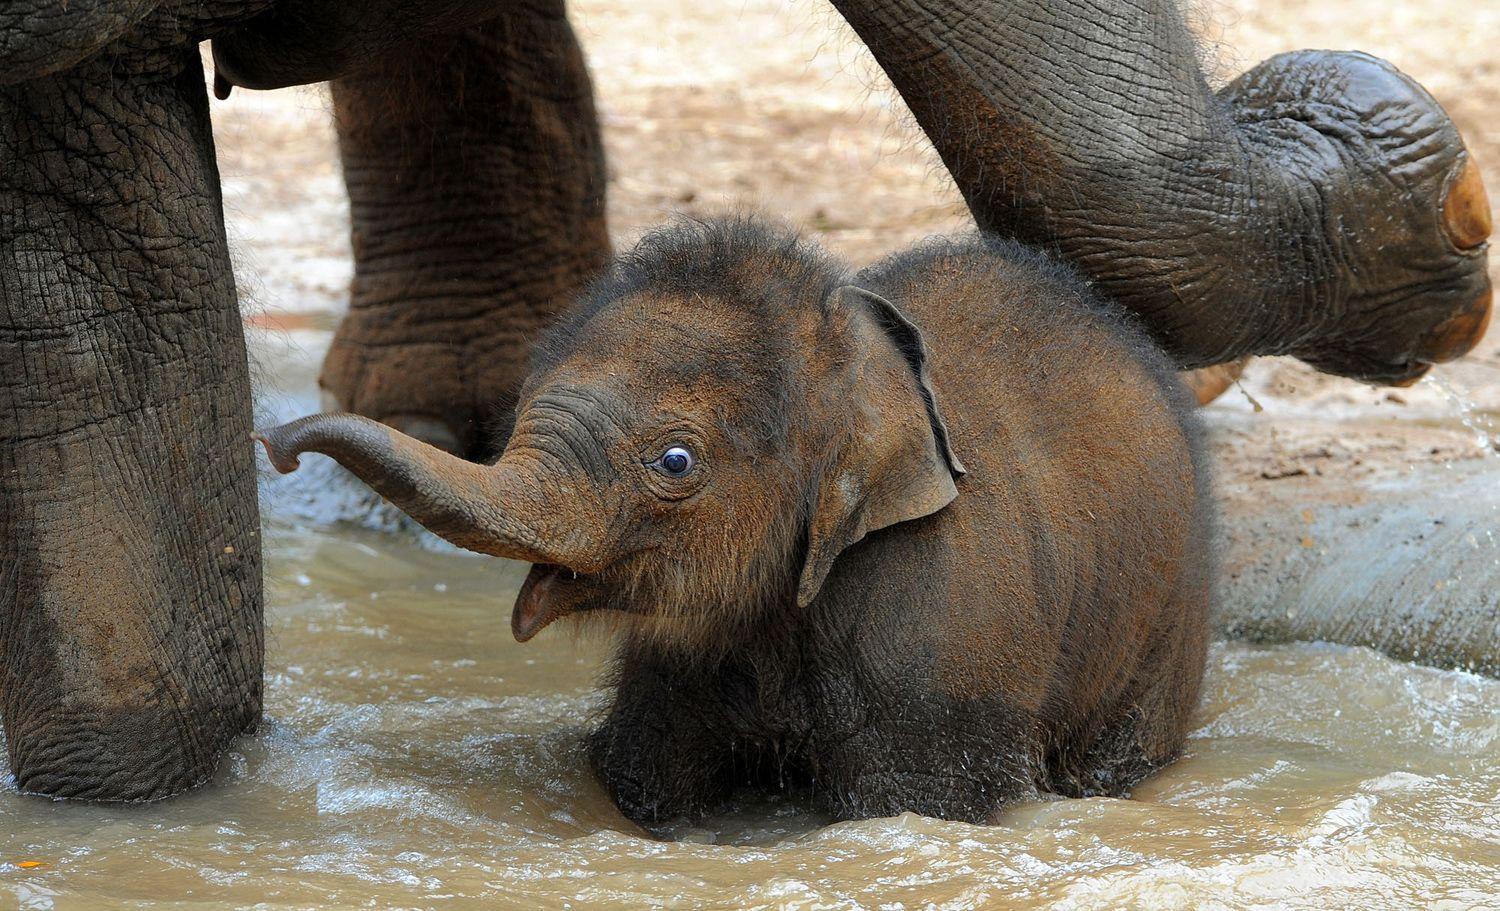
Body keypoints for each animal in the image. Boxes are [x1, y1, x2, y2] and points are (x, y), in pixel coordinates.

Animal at [256, 216, 1213, 827]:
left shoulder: (940, 645)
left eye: (676, 462)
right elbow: (646, 775)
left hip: (1165, 627)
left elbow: (916, 801)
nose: (276, 446)